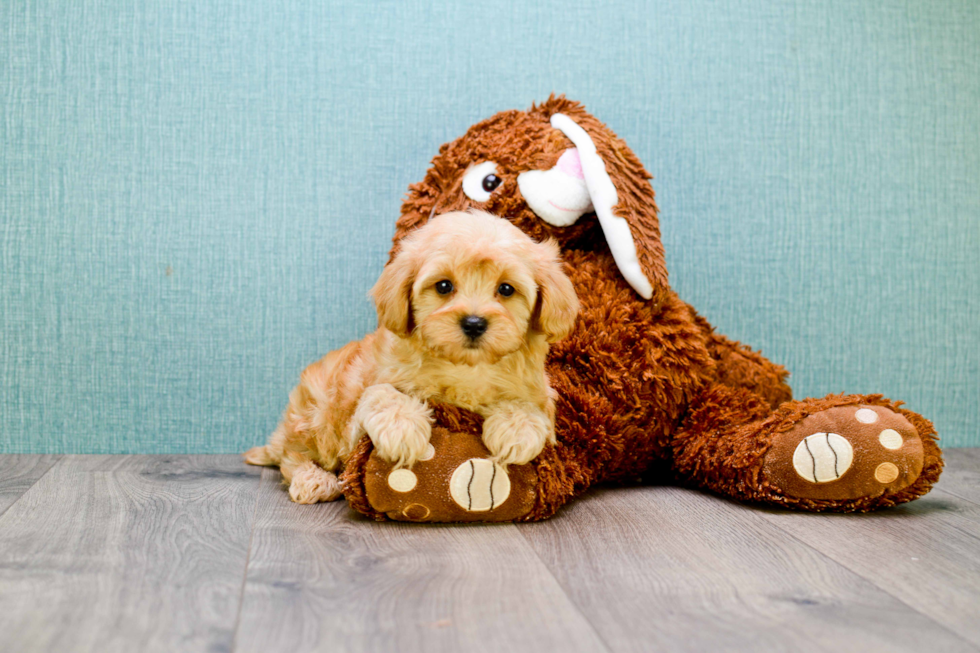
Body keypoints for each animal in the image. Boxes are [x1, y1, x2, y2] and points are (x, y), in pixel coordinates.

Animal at [247, 210, 580, 504]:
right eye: (444, 286)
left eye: (506, 289)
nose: (474, 323)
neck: (466, 369)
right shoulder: (355, 428)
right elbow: (382, 394)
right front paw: (402, 429)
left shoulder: (539, 394)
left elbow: (529, 408)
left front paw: (516, 431)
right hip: (314, 414)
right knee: (293, 457)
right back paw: (313, 479)